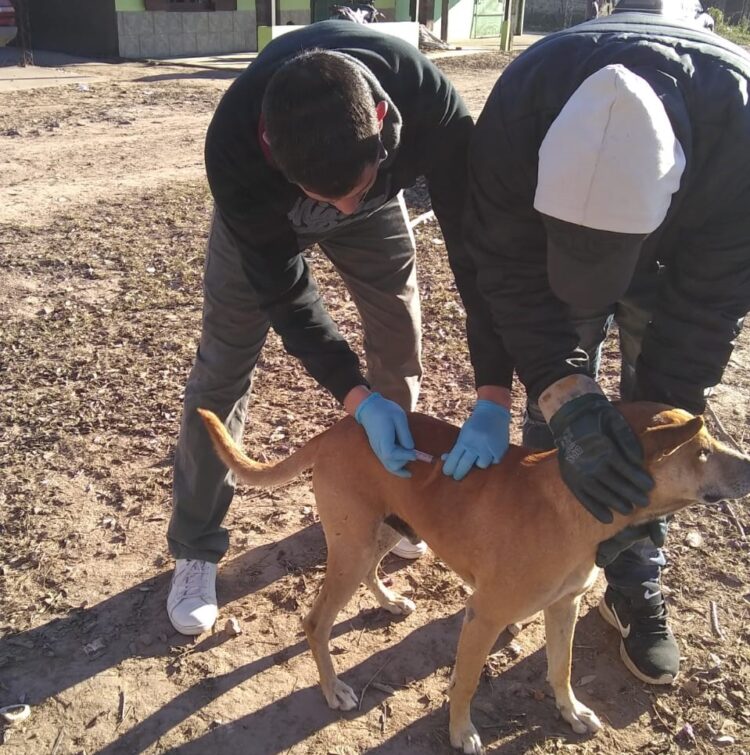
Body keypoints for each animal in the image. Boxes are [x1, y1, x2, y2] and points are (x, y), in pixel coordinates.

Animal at [198, 404, 750, 752]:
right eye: (701, 451)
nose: (748, 466)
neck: (573, 505)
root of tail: (339, 427)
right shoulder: (481, 618)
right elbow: (463, 683)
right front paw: (461, 733)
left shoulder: (564, 606)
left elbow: (562, 667)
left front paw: (570, 711)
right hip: (351, 546)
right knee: (316, 623)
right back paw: (334, 689)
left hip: (380, 531)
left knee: (371, 574)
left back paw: (389, 601)